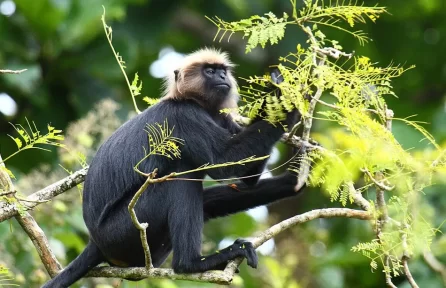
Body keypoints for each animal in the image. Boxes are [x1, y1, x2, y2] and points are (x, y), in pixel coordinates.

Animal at [43, 48, 304, 286]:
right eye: (210, 71)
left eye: (222, 71)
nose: (222, 76)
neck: (196, 103)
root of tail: (95, 242)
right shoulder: (183, 115)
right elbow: (225, 163)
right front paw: (285, 92)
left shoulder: (223, 119)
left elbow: (247, 179)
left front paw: (294, 175)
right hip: (121, 231)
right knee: (177, 181)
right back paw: (192, 264)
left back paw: (290, 185)